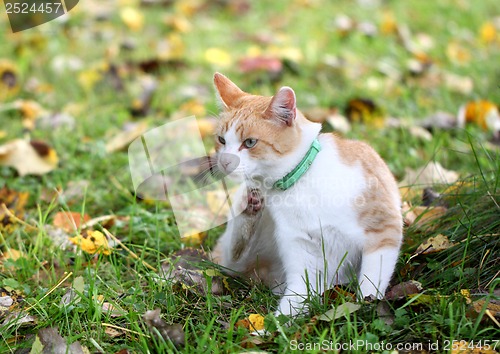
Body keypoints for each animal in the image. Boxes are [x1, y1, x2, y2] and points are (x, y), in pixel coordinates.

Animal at [210, 72, 402, 316]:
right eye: (222, 140)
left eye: (250, 142)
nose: (225, 162)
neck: (300, 183)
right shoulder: (304, 254)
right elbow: (296, 297)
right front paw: (274, 325)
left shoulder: (383, 229)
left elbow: (372, 278)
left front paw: (367, 306)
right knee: (235, 254)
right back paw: (249, 206)